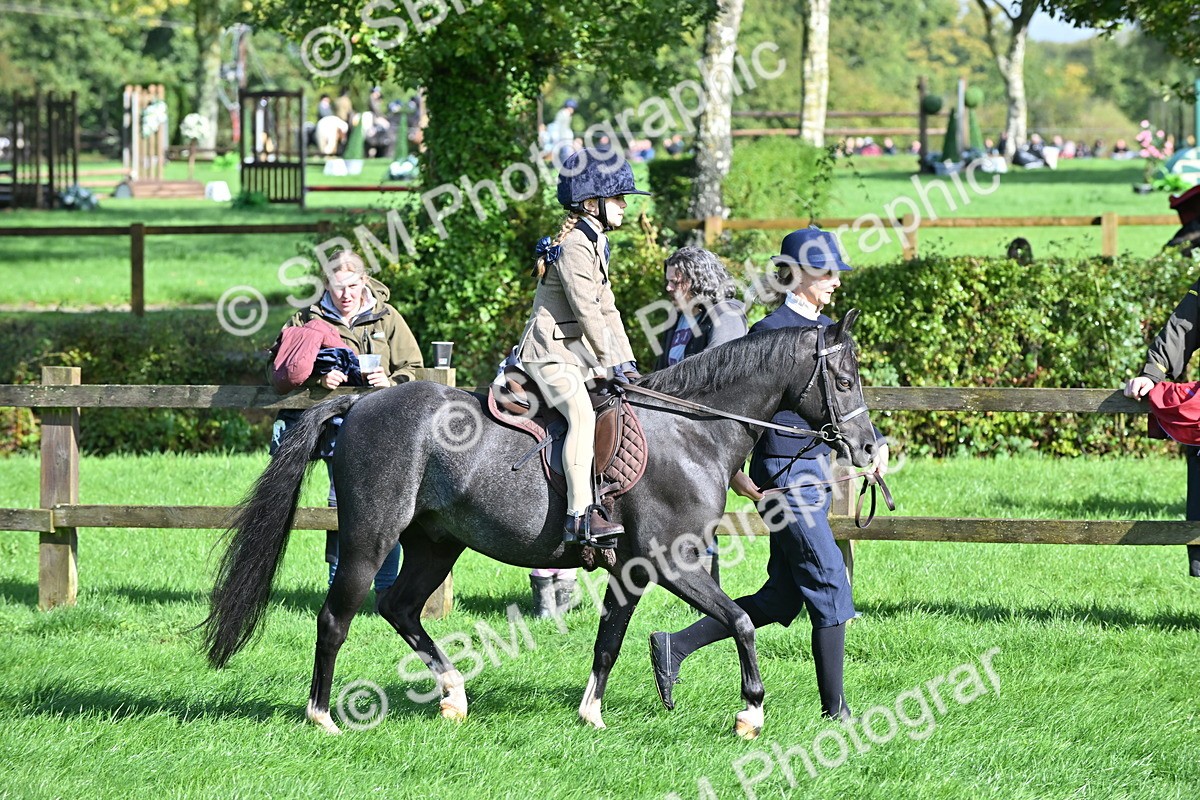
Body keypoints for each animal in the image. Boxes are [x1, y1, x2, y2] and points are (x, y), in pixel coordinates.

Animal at [201, 310, 879, 739]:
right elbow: (738, 620)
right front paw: (750, 715)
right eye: (845, 379)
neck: (692, 432)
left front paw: (591, 714)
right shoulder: (672, 562)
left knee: (399, 607)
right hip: (371, 539)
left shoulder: (632, 571)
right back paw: (322, 717)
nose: (870, 448)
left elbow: (610, 639)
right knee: (337, 618)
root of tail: (359, 401)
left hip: (435, 545)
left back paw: (453, 694)